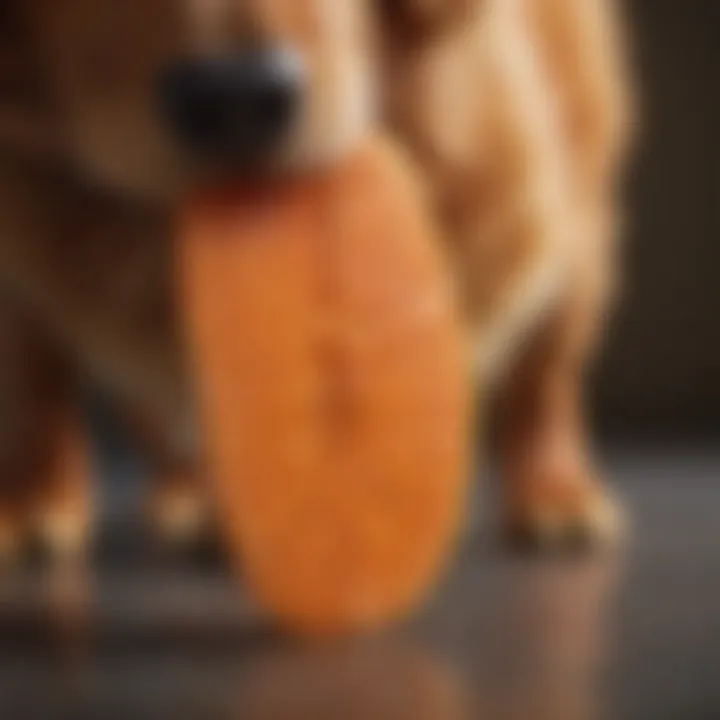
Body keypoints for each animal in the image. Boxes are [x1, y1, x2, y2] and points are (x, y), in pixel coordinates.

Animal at [0, 0, 632, 560]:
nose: (237, 98)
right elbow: (41, 390)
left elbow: (533, 377)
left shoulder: (535, 226)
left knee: (545, 377)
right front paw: (36, 503)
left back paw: (554, 495)